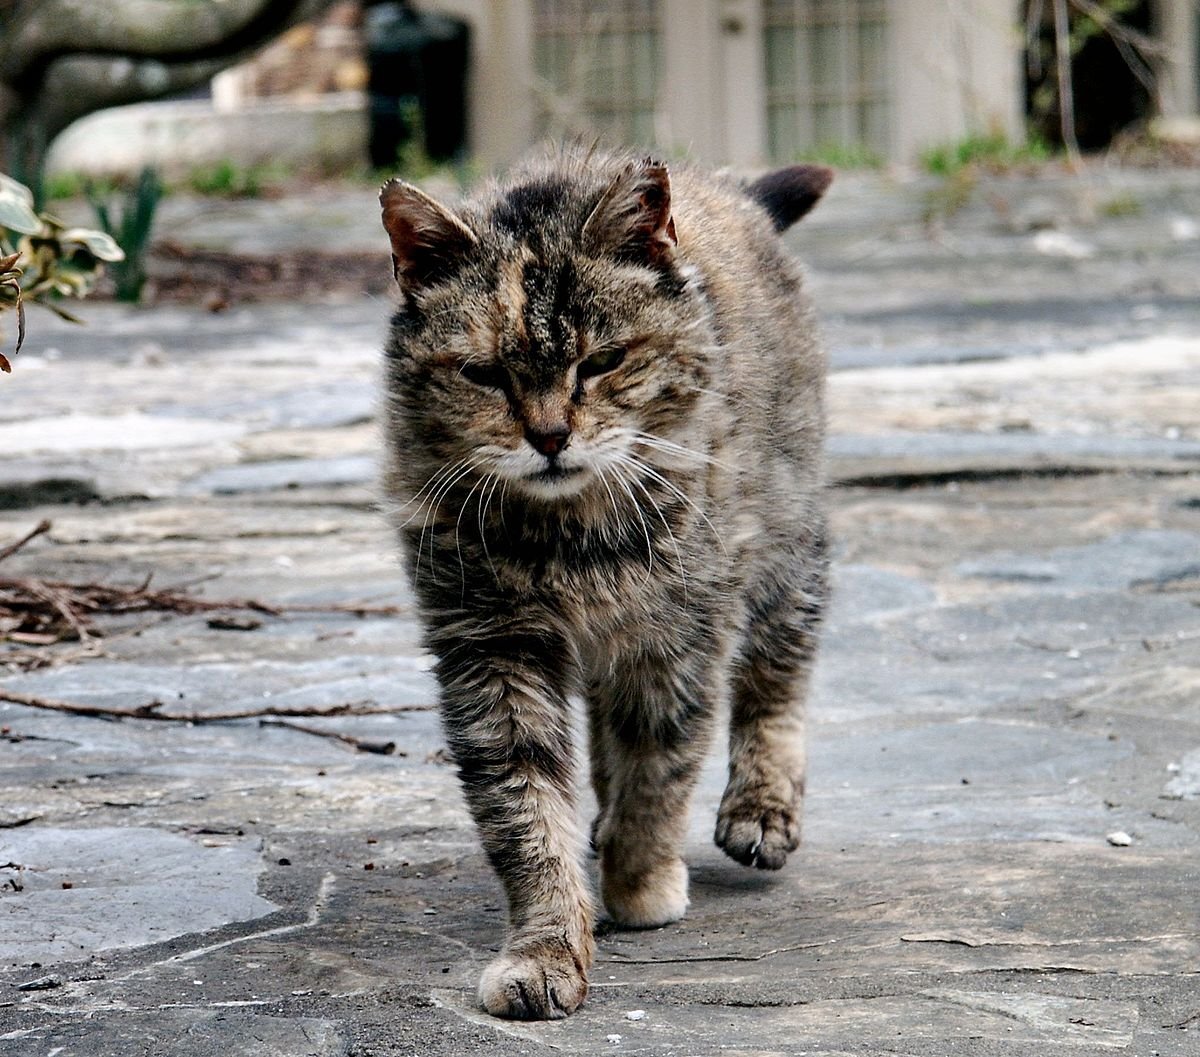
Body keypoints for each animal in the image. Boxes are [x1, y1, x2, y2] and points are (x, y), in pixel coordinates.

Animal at [379, 148, 830, 1012]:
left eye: (602, 361)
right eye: (484, 374)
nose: (550, 435)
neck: (569, 536)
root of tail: (731, 191)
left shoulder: (679, 635)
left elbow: (663, 763)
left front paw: (640, 881)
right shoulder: (492, 645)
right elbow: (525, 806)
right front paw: (547, 947)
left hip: (787, 541)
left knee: (779, 674)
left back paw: (760, 806)